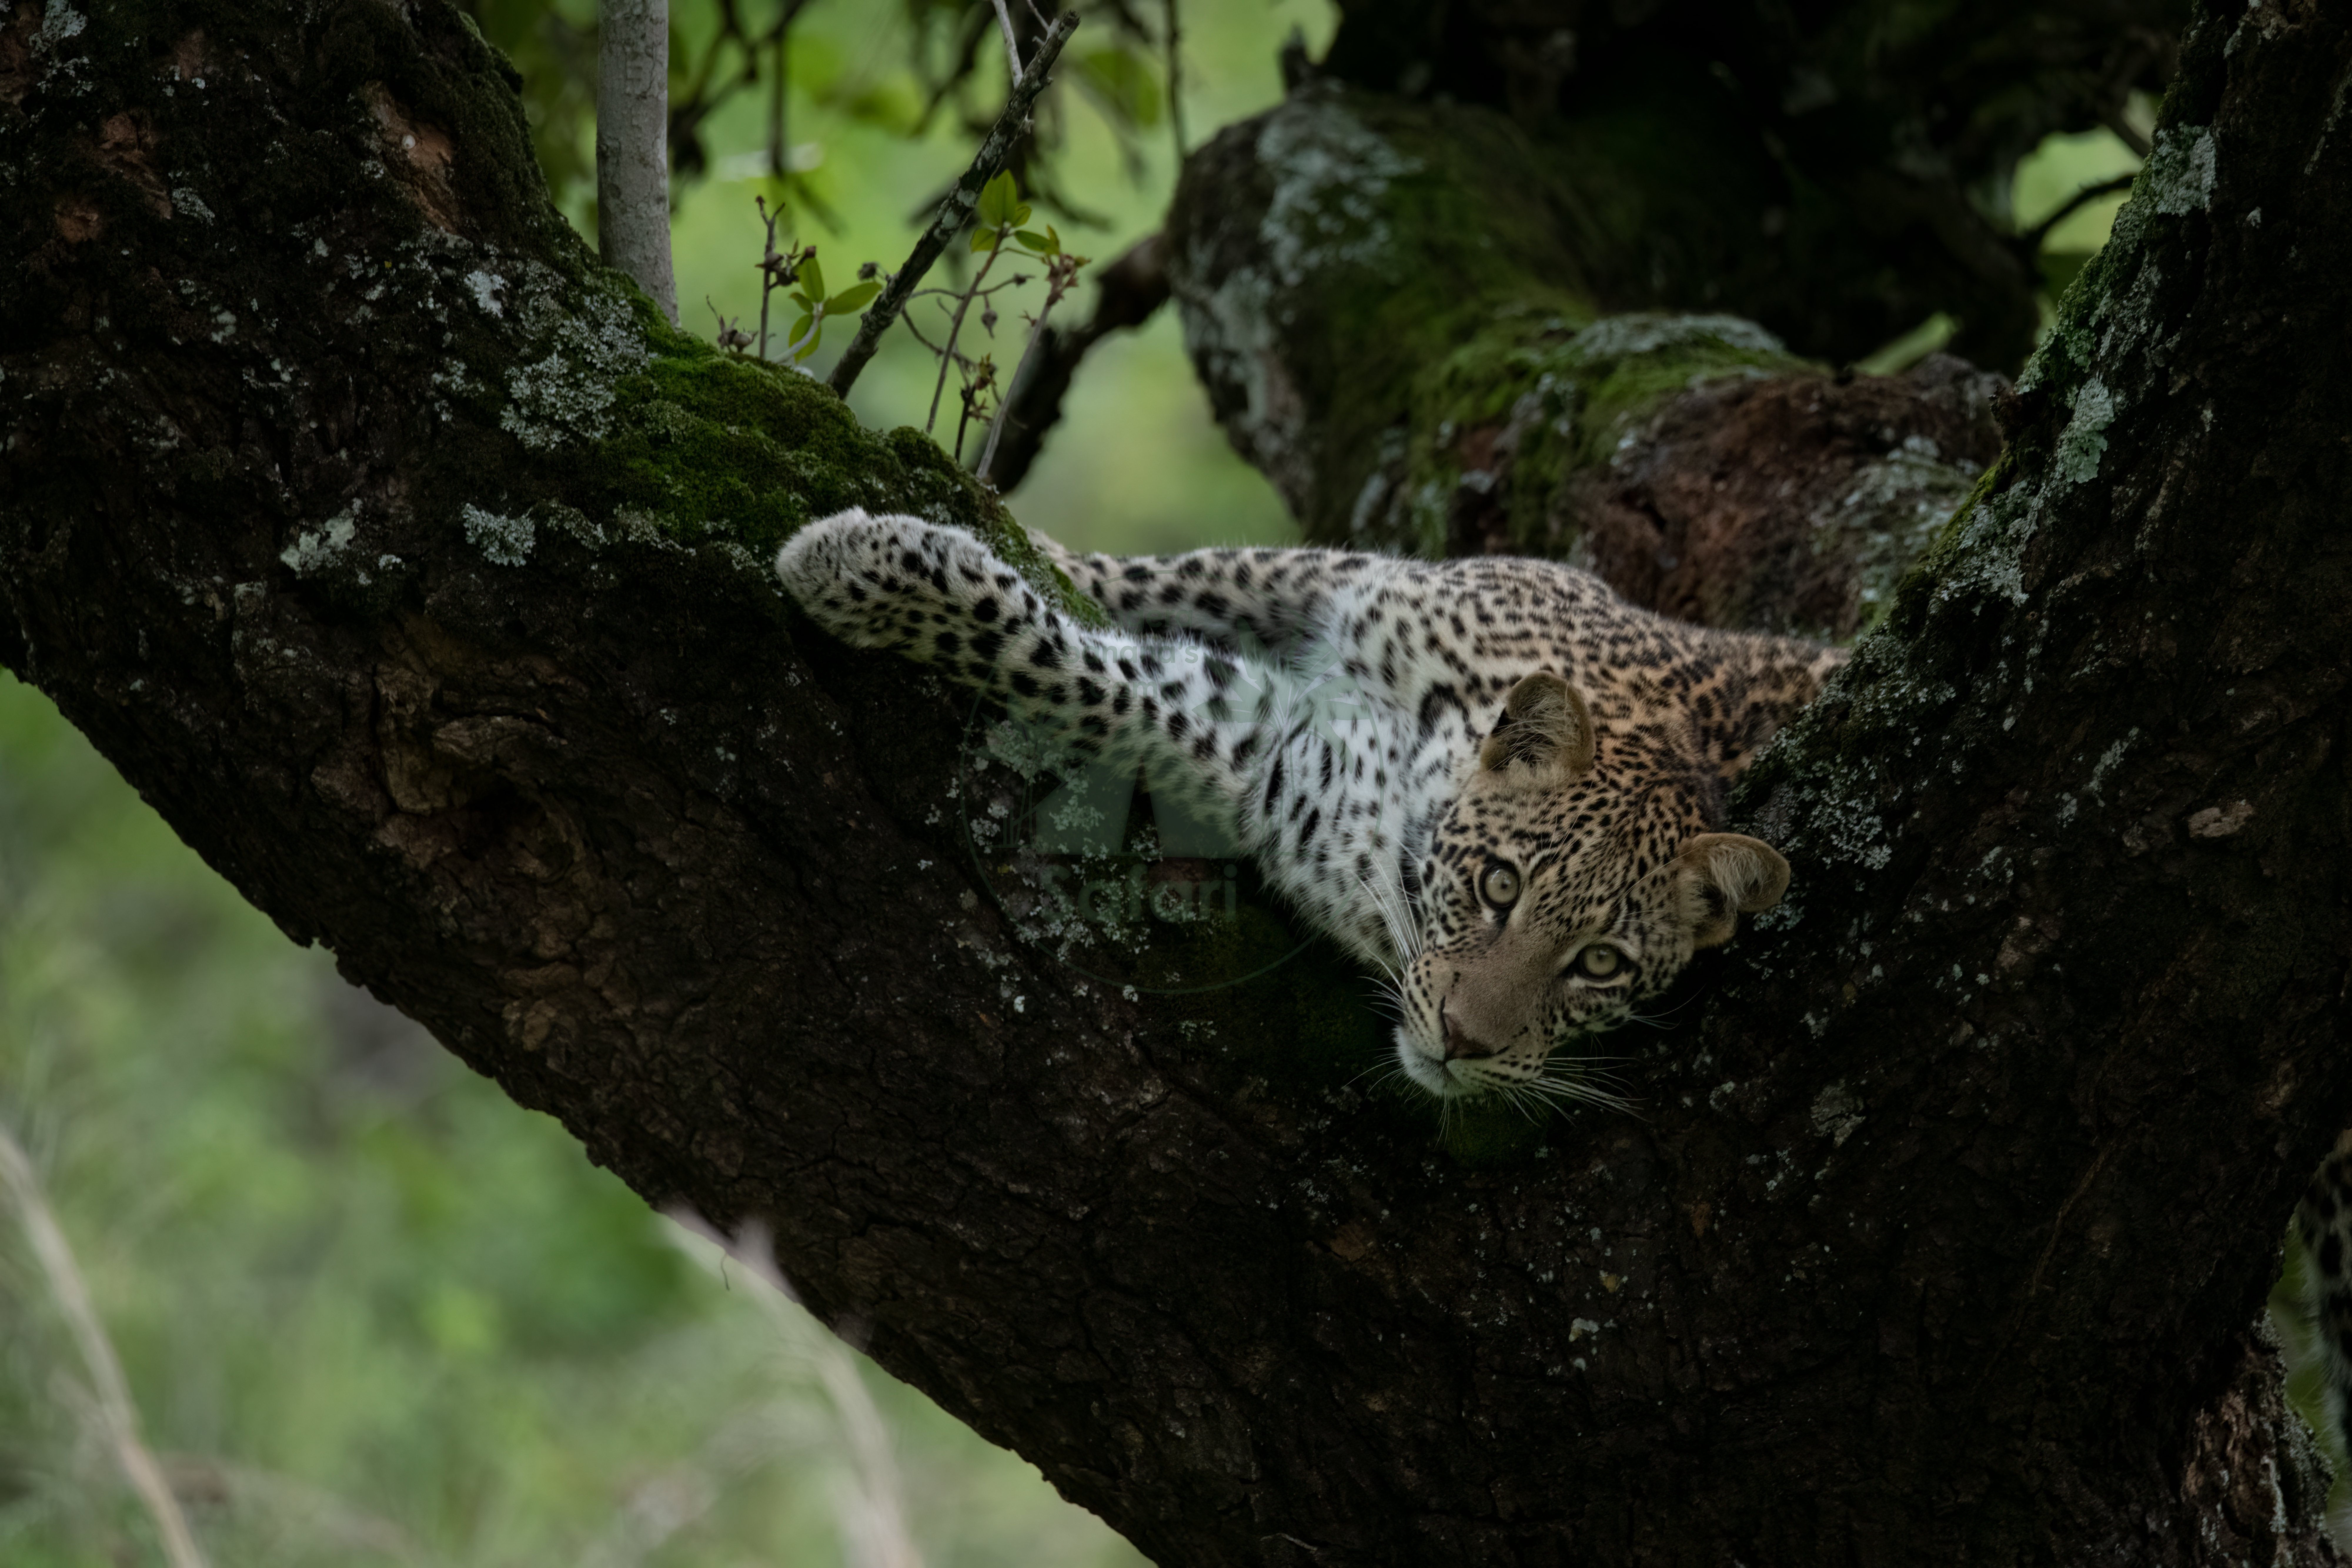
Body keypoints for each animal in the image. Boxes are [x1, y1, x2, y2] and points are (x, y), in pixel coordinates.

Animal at [775, 508, 1845, 1109]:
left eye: (1602, 965)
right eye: (1499, 886)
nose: (1465, 1044)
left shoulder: (1300, 777)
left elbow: (1105, 680)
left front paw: (863, 572)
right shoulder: (1348, 582)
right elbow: (1177, 574)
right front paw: (917, 547)